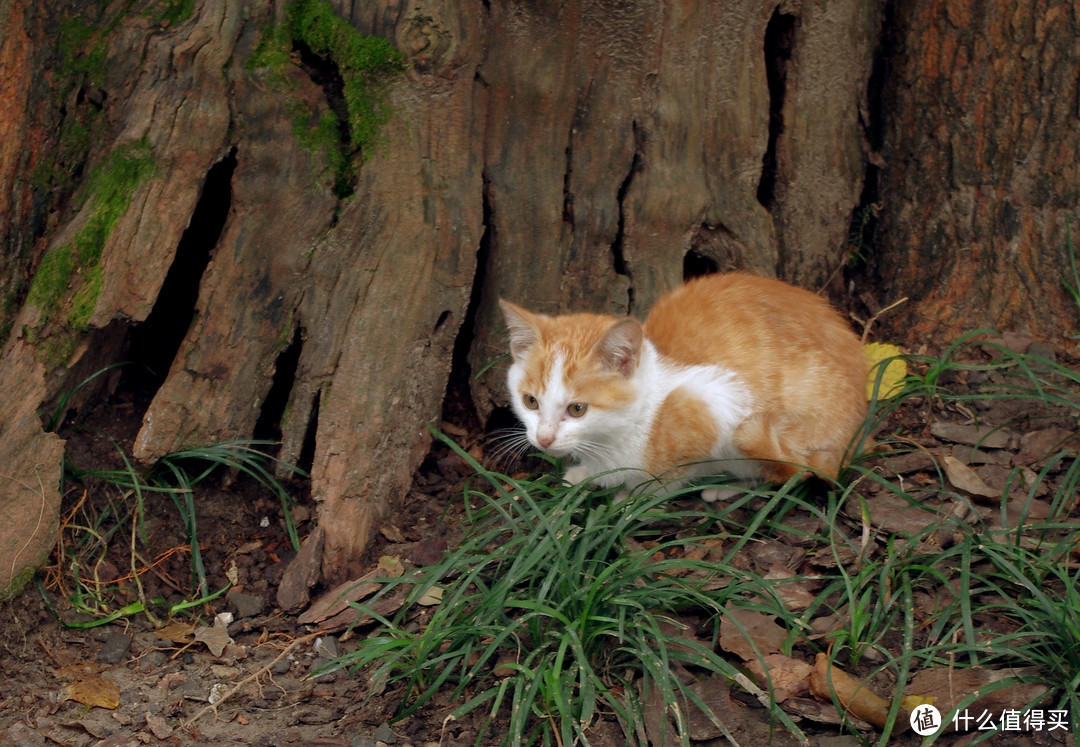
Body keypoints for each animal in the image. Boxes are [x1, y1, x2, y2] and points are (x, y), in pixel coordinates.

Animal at [498, 270, 868, 498]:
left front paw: (632, 498)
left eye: (577, 409)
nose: (544, 439)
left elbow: (672, 475)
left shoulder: (712, 402)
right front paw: (584, 474)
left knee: (791, 469)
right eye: (530, 401)